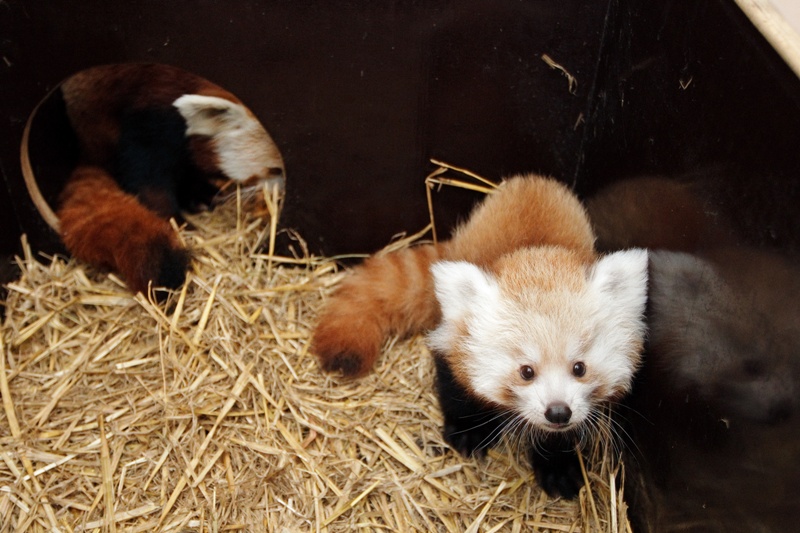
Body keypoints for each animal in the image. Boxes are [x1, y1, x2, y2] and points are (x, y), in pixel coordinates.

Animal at [310, 176, 648, 498]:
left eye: (580, 368)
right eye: (526, 371)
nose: (557, 411)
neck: (536, 251)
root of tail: (530, 180)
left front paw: (558, 466)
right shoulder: (451, 337)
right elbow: (457, 387)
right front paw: (468, 431)